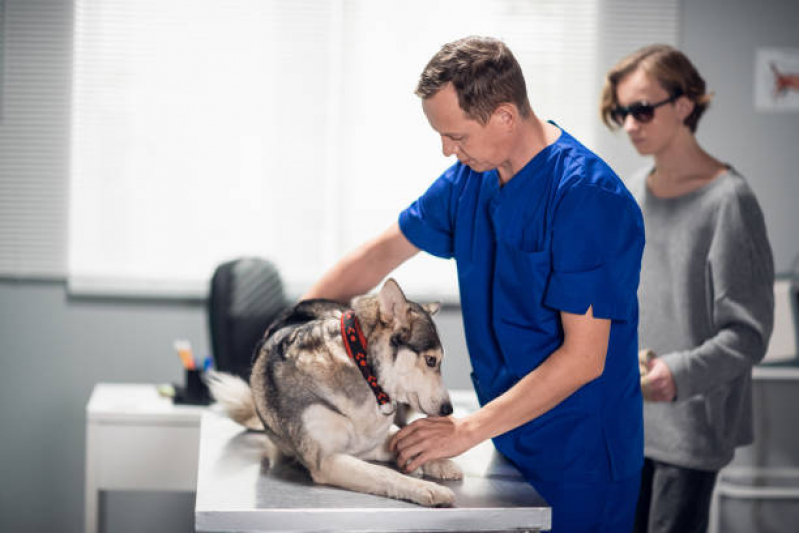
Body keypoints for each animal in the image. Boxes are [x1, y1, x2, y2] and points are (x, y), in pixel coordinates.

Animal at [208, 276, 462, 504]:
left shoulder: (371, 441)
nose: (448, 410)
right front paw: (427, 488)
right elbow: (384, 473)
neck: (363, 371)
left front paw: (438, 462)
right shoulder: (327, 460)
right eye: (431, 361)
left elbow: (402, 439)